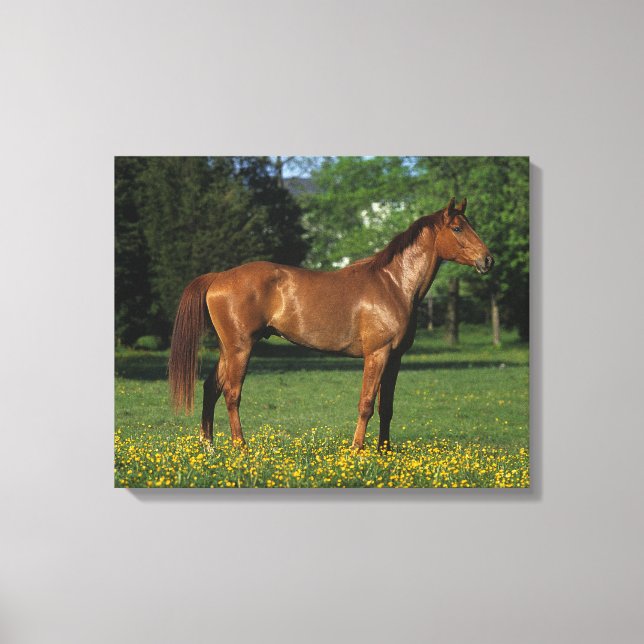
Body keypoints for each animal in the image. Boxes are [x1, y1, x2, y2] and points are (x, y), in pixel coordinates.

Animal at [168, 197, 494, 450]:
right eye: (457, 227)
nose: (488, 260)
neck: (393, 284)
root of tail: (218, 277)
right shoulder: (377, 354)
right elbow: (366, 404)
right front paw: (356, 450)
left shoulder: (395, 358)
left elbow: (386, 408)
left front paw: (384, 452)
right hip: (240, 349)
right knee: (232, 394)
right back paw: (241, 448)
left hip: (228, 349)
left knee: (211, 388)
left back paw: (210, 447)